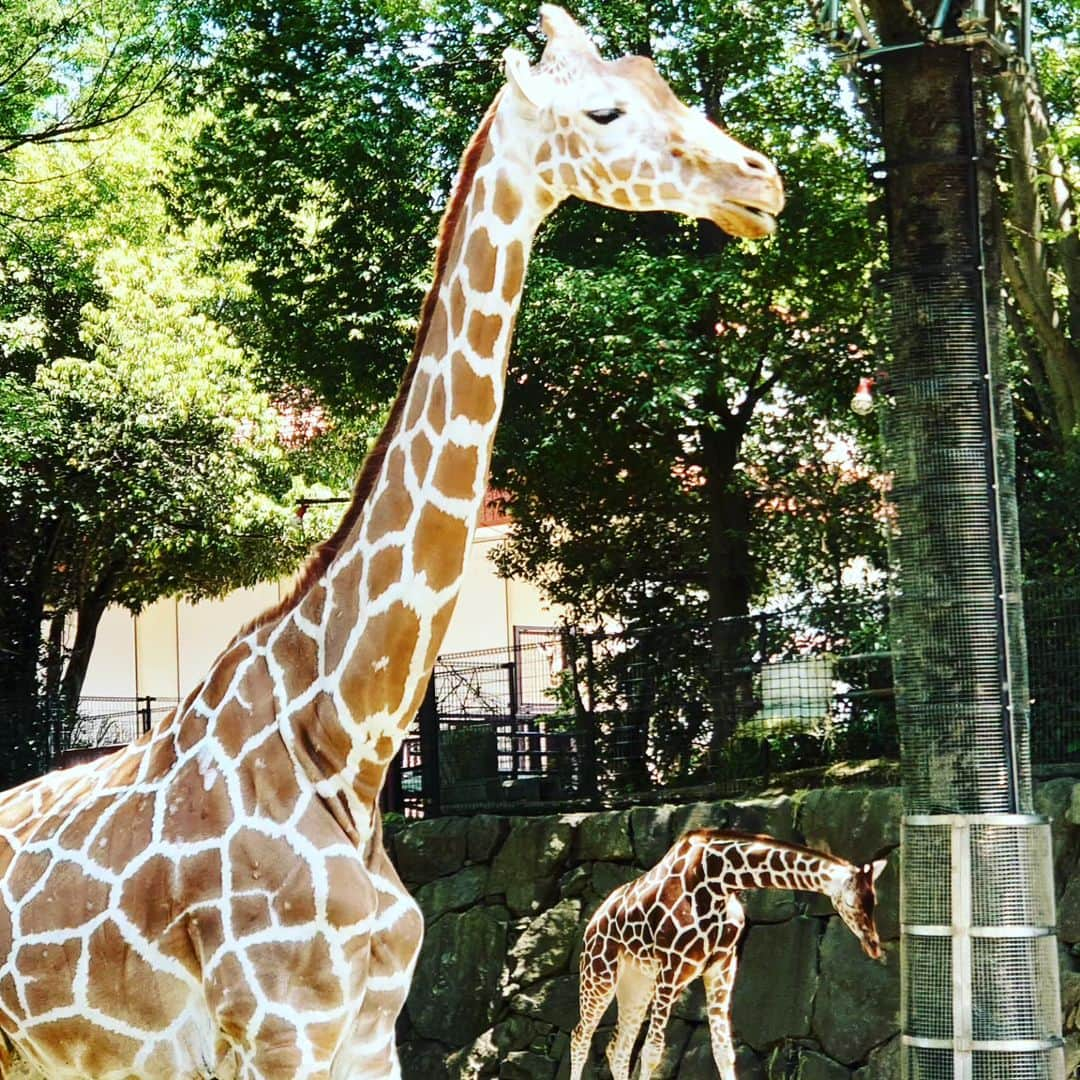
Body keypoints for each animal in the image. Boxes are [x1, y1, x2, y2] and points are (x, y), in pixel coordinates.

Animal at [570, 829, 881, 1075]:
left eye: (874, 901)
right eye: (851, 903)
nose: (874, 945)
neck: (719, 881)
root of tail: (592, 922)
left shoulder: (721, 966)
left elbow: (723, 1051)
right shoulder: (672, 968)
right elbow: (653, 1052)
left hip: (637, 983)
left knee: (617, 1049)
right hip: (599, 974)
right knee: (580, 1037)